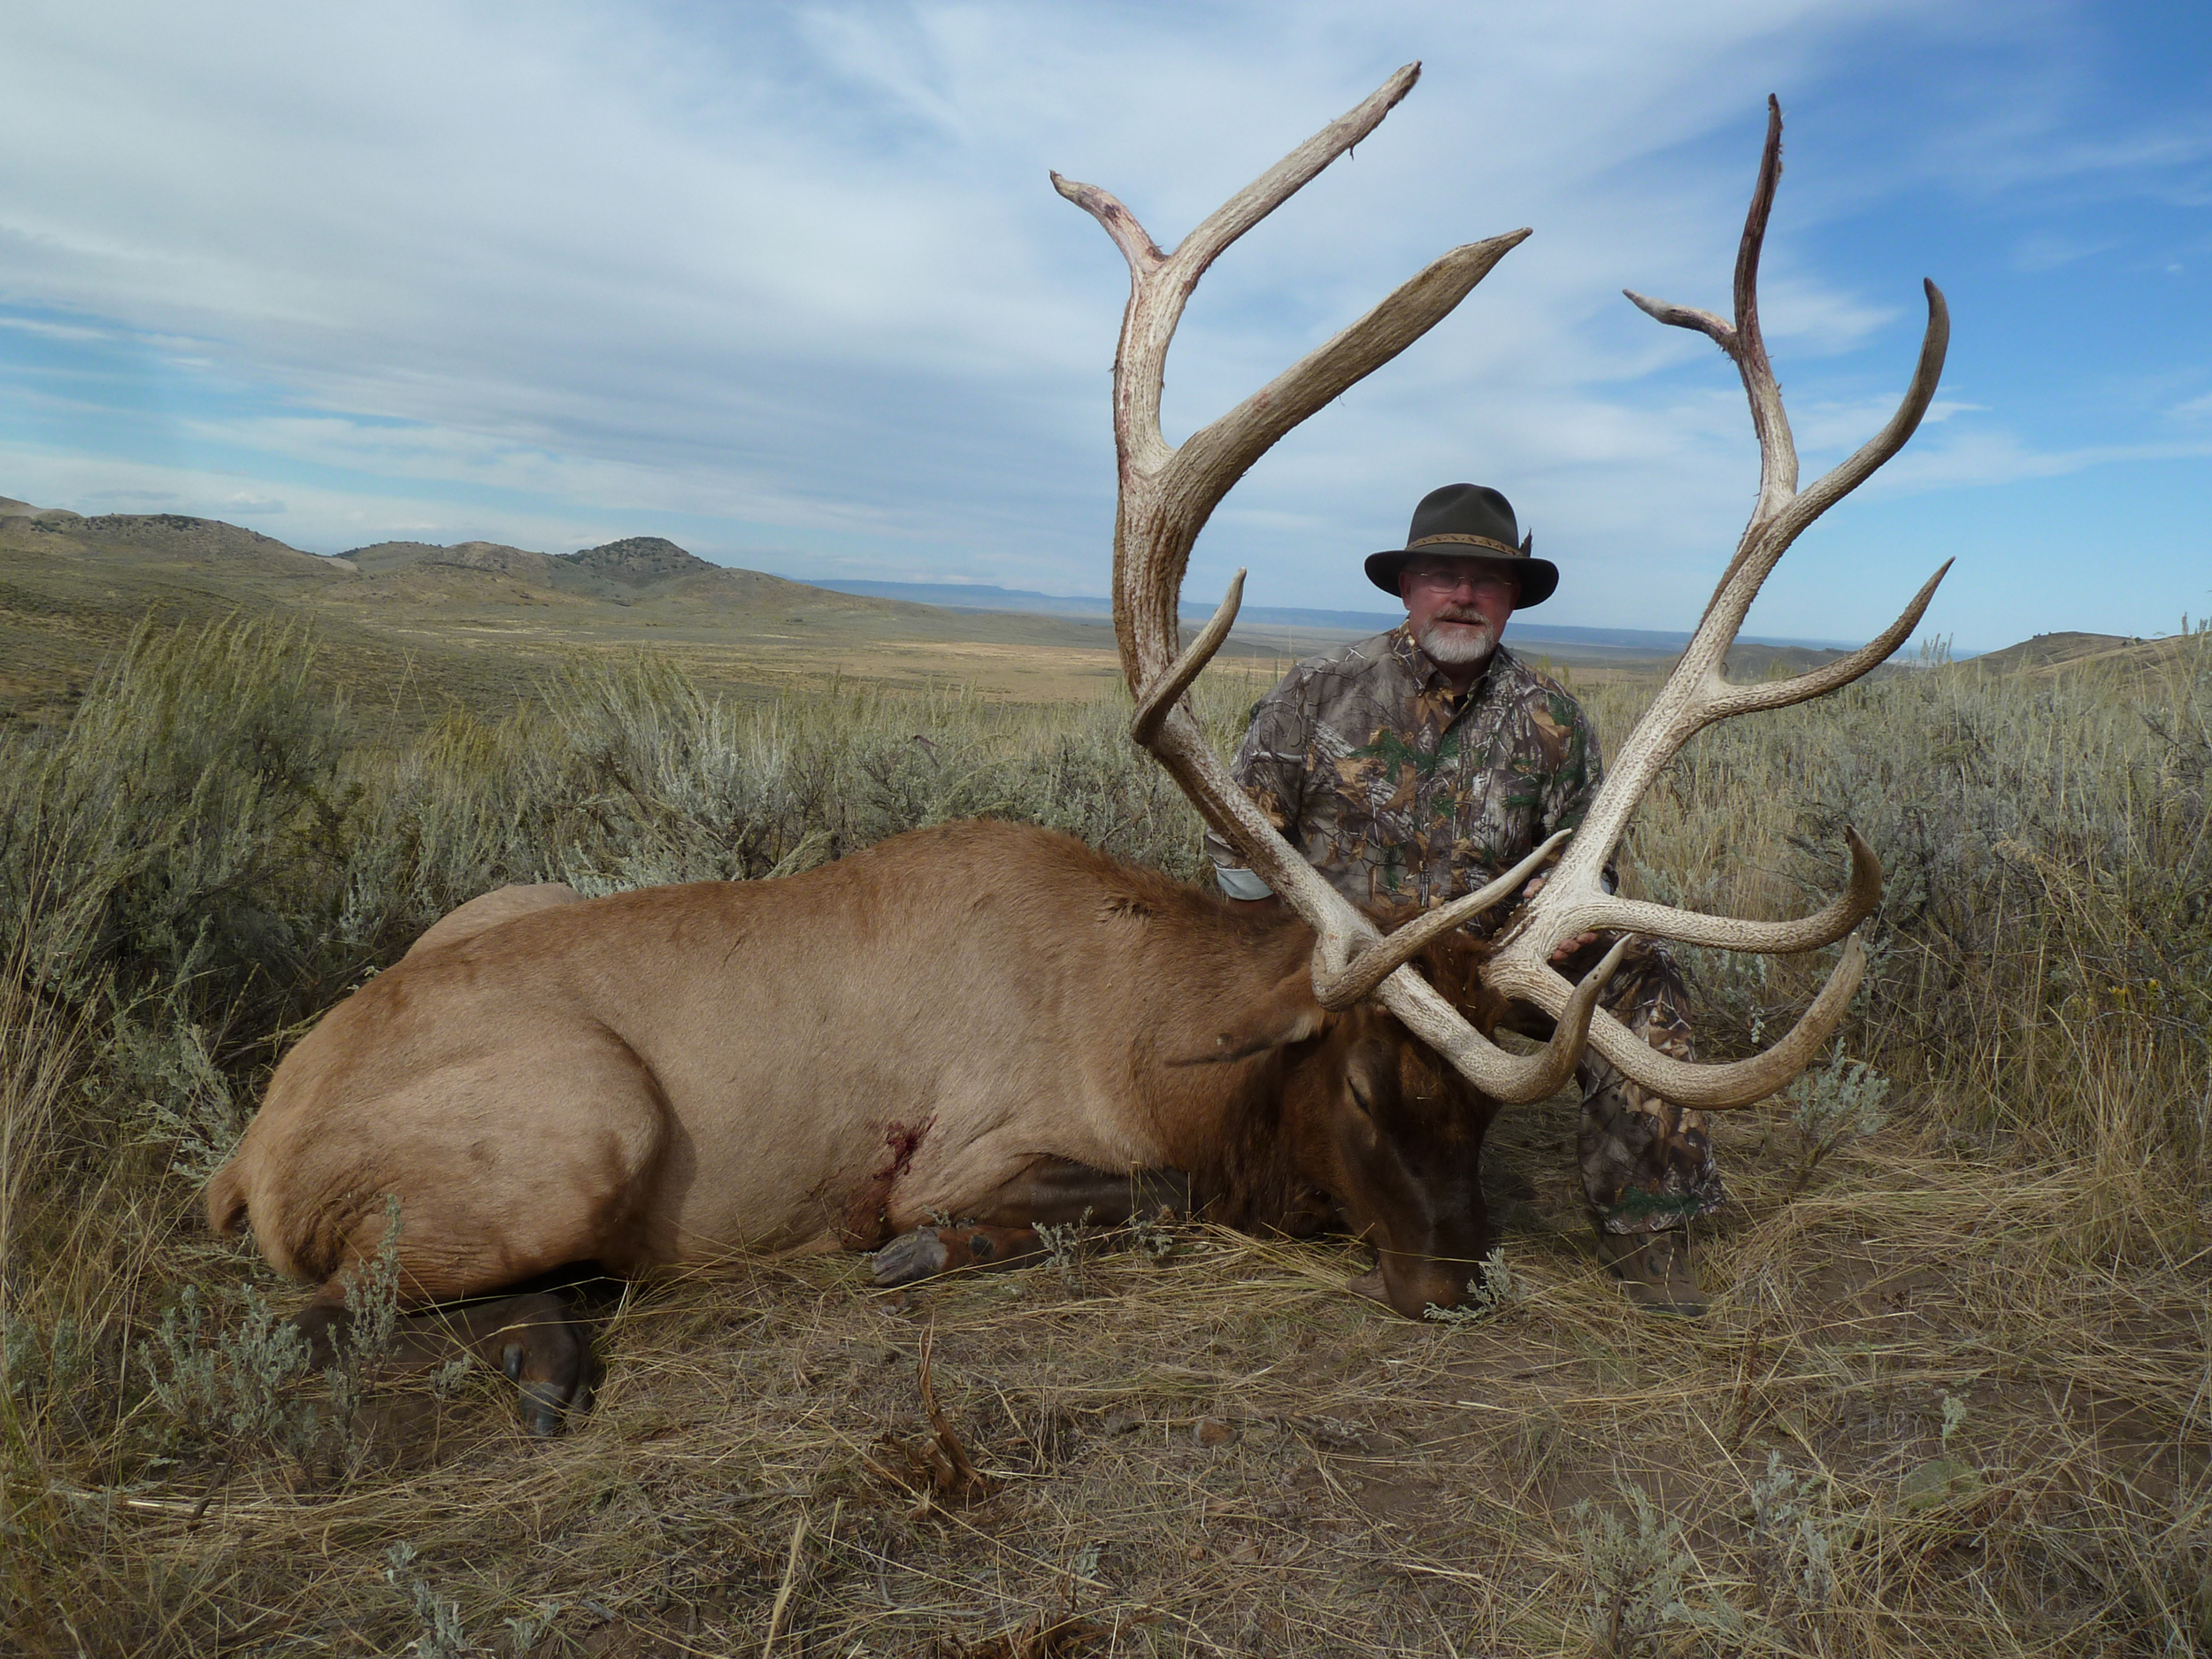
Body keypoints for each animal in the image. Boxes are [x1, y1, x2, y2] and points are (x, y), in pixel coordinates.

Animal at [208, 74, 1947, 1433]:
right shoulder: (971, 1146)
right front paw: (923, 1253)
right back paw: (551, 1358)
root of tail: (252, 1144)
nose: (1454, 1283)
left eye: (1483, 1115)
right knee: (336, 1303)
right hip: (589, 1122)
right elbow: (1125, 1203)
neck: (1156, 1028)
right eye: (1363, 1088)